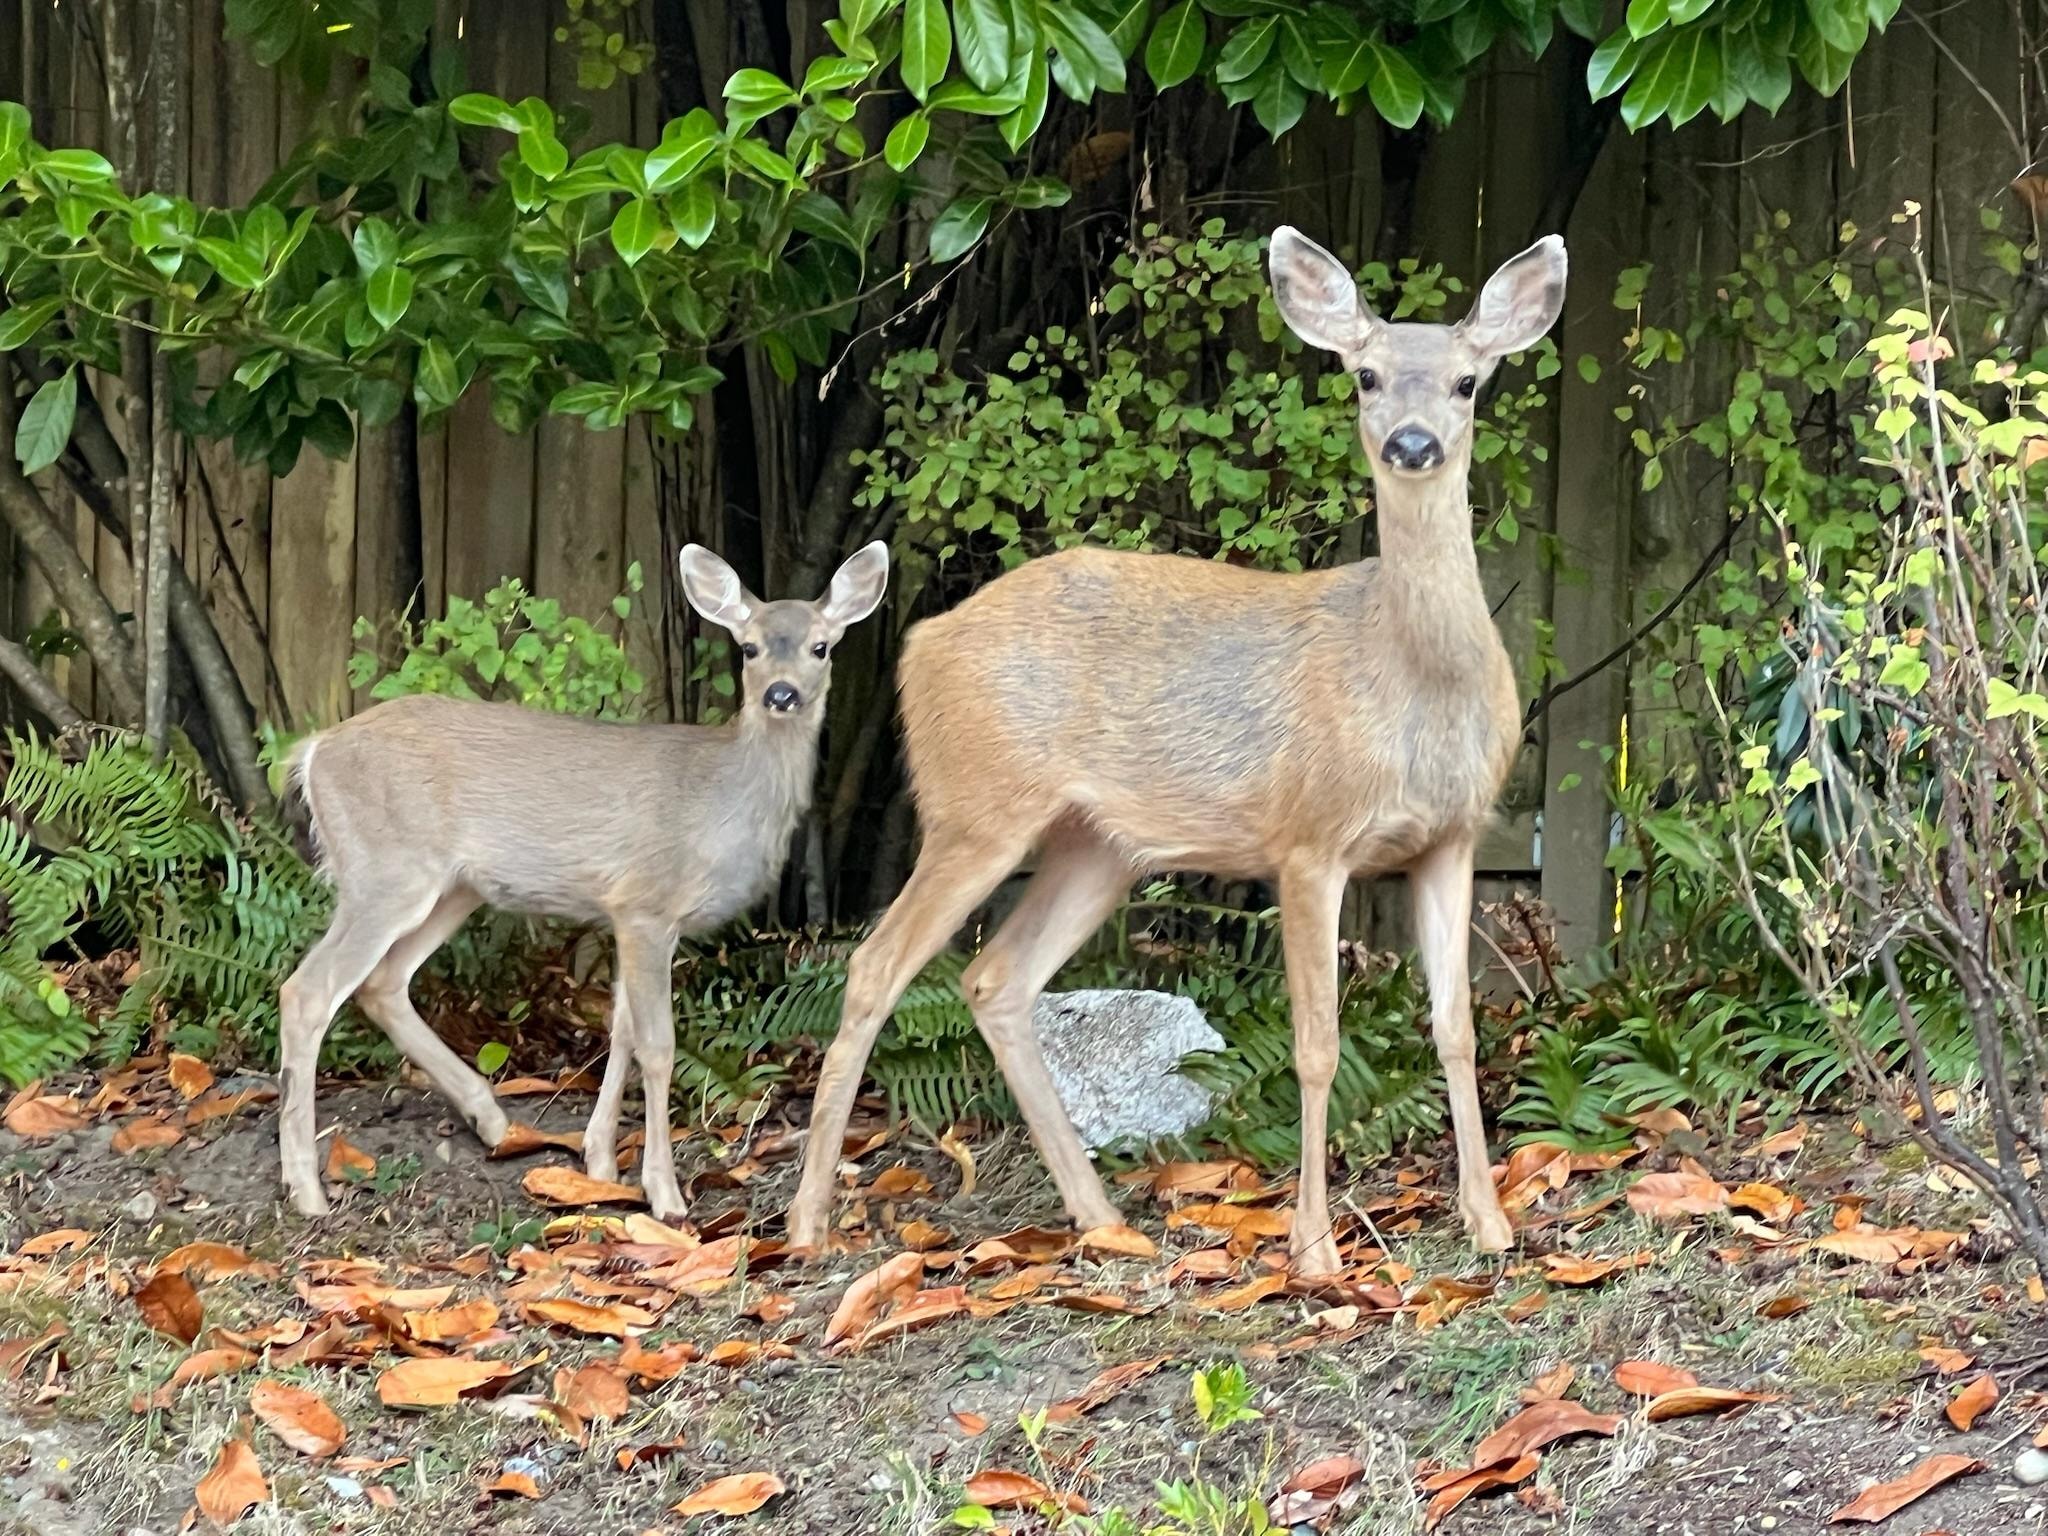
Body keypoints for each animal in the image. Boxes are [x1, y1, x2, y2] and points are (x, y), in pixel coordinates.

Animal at [274, 542, 890, 1222]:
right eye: (749, 647)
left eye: (821, 646)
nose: (782, 694)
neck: (720, 800)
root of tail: (313, 751)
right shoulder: (647, 902)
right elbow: (657, 1044)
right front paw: (664, 1194)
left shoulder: (627, 914)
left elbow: (620, 1030)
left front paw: (599, 1163)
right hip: (384, 870)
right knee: (307, 991)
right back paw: (307, 1189)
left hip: (450, 887)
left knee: (382, 983)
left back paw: (492, 1120)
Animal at [781, 228, 1566, 1275]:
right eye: (1363, 375)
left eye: (1467, 381)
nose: (1411, 443)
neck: (1411, 684)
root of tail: (918, 645)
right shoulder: (1308, 837)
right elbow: (1317, 1041)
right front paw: (1315, 1250)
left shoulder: (1452, 838)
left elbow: (1457, 1031)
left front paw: (1491, 1223)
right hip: (976, 803)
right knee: (875, 966)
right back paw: (806, 1224)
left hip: (1097, 843)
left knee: (996, 979)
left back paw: (1101, 1214)